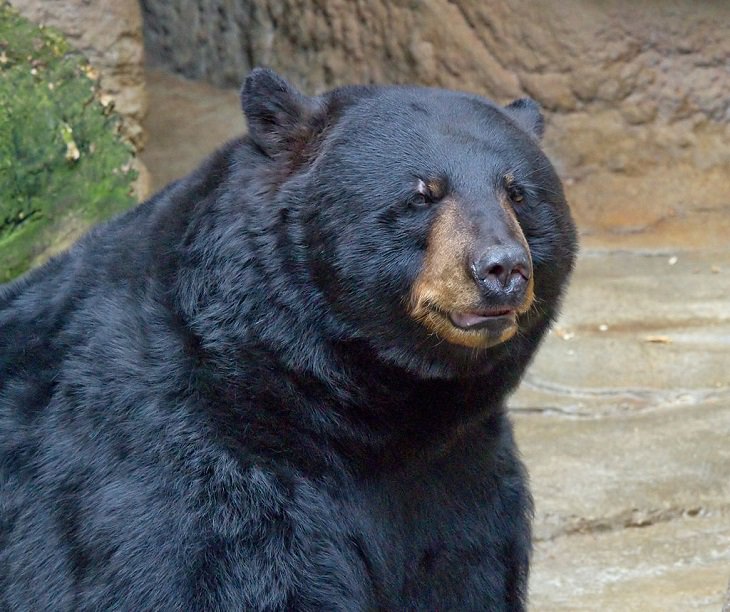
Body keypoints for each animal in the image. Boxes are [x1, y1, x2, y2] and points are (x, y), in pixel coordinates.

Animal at [0, 69, 576, 608]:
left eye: (518, 194)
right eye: (421, 194)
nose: (502, 268)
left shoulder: (459, 476)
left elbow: (463, 571)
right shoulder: (191, 460)